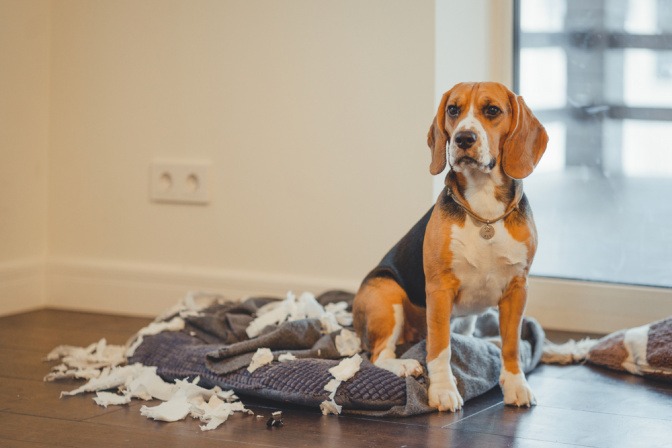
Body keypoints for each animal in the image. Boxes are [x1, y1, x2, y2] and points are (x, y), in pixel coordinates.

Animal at [352, 80, 544, 410]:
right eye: (453, 110)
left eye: (492, 110)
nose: (463, 138)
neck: (484, 209)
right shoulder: (440, 289)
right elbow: (440, 348)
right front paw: (442, 390)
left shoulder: (518, 288)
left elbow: (512, 346)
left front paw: (516, 384)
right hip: (386, 294)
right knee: (379, 354)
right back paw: (405, 364)